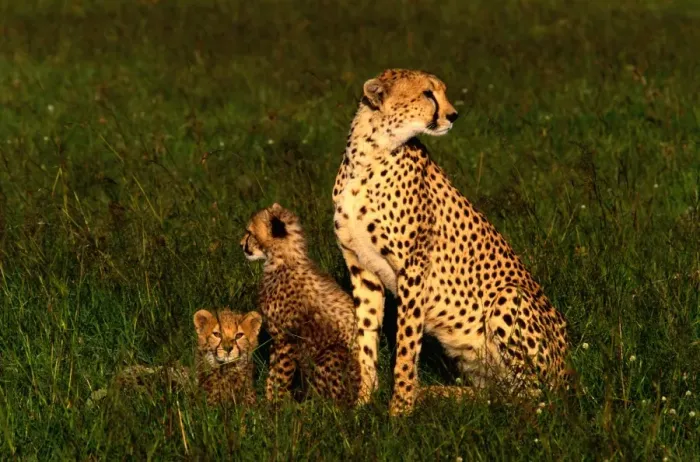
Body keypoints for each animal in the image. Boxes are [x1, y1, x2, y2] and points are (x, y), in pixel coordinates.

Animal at [240, 203, 360, 406]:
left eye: (250, 232)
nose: (241, 245)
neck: (283, 261)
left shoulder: (285, 339)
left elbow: (279, 375)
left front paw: (274, 405)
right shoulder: (277, 338)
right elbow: (273, 375)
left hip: (333, 353)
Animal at [332, 68, 570, 415]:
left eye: (442, 92)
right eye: (427, 94)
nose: (453, 115)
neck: (369, 153)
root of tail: (570, 372)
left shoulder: (414, 269)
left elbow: (406, 347)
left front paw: (399, 412)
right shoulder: (362, 268)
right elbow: (365, 337)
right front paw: (363, 403)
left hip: (509, 297)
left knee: (536, 398)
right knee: (501, 394)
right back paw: (440, 395)